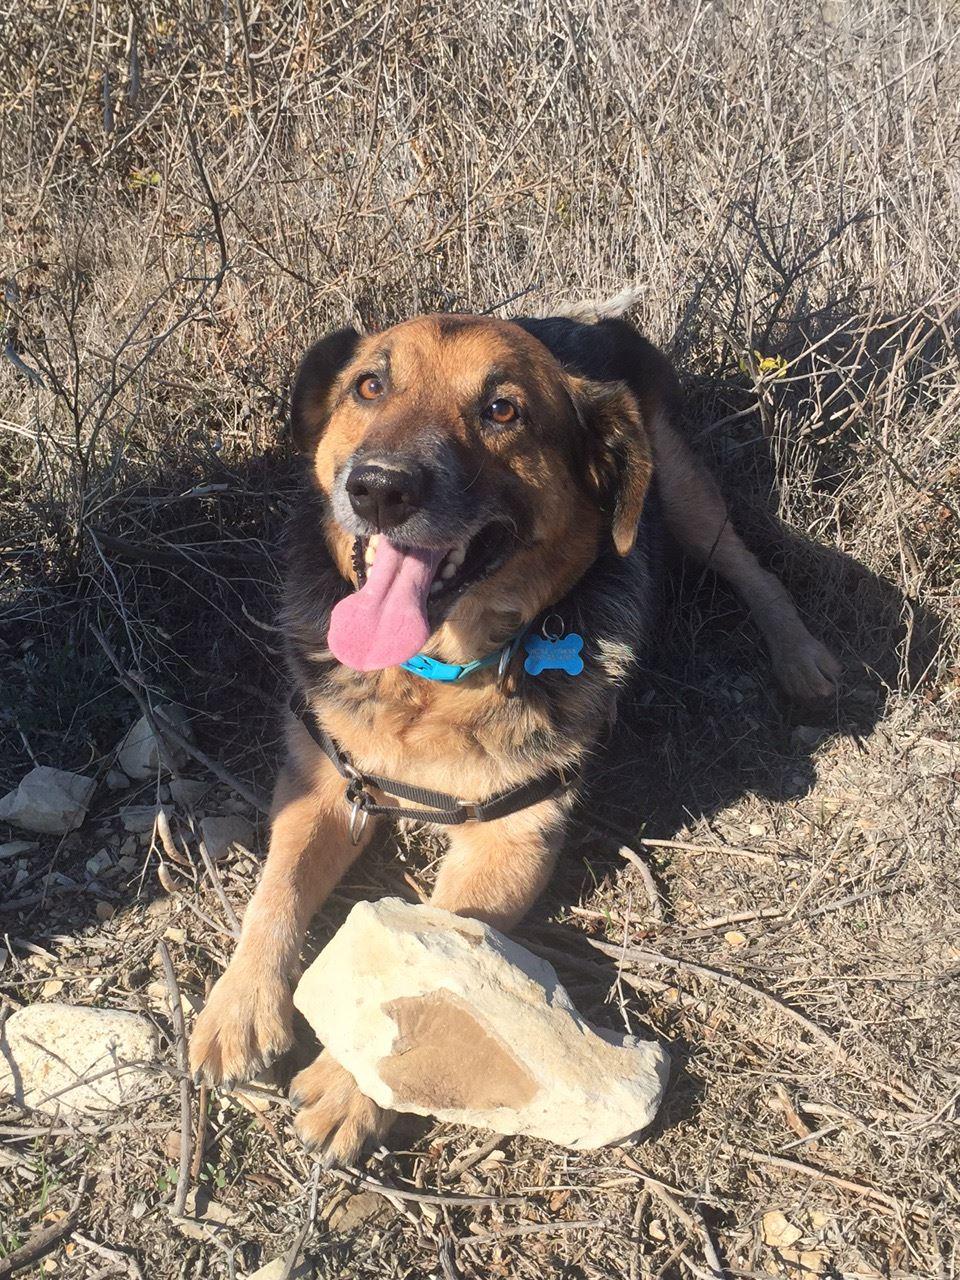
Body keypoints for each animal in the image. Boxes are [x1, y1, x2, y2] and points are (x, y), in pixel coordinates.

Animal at [189, 304, 839, 1167]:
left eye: (503, 410)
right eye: (369, 386)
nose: (378, 487)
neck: (436, 676)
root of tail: (582, 319)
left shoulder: (512, 839)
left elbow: (436, 964)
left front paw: (352, 1083)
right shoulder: (326, 783)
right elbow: (278, 890)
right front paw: (238, 1008)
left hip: (680, 489)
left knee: (747, 563)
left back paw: (802, 656)